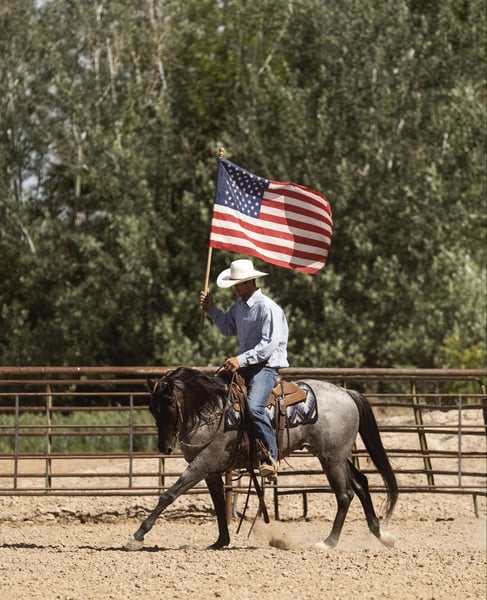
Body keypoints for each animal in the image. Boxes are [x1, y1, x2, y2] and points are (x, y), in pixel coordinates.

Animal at [125, 366, 398, 551]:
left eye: (169, 406)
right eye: (152, 409)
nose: (164, 447)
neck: (214, 411)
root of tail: (346, 392)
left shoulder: (203, 463)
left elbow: (170, 494)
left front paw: (137, 536)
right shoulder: (211, 471)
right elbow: (219, 505)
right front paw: (221, 541)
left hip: (331, 459)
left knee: (345, 494)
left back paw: (328, 542)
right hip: (336, 456)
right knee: (361, 484)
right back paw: (381, 535)